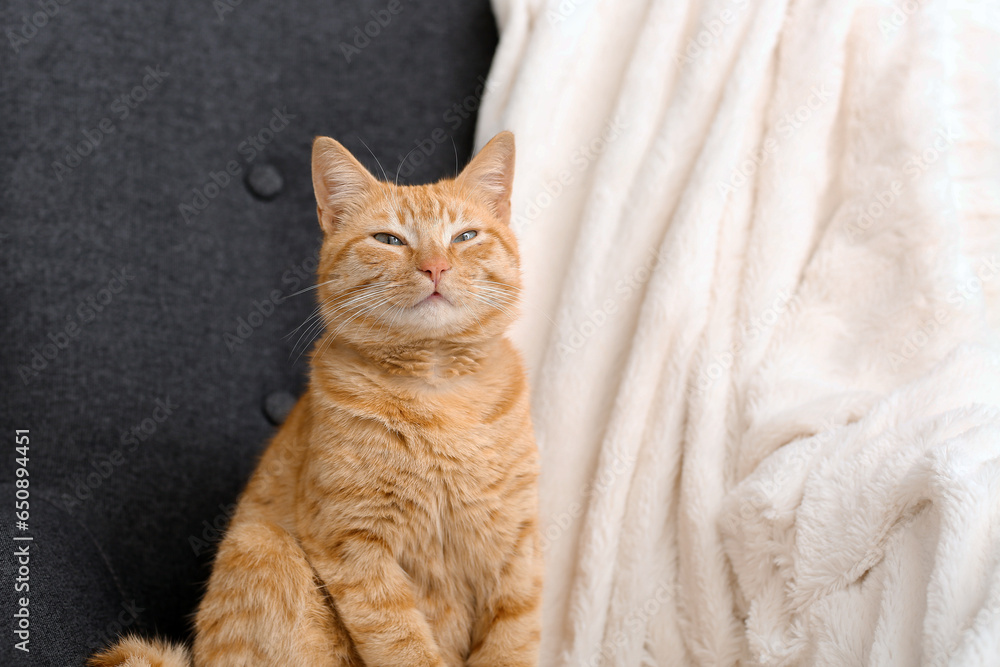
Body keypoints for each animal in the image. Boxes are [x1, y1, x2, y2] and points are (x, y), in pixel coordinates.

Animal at [93, 132, 544, 667]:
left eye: (465, 236)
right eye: (389, 240)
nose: (435, 266)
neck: (436, 390)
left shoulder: (515, 541)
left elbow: (513, 637)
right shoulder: (352, 541)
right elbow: (403, 641)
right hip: (262, 543)